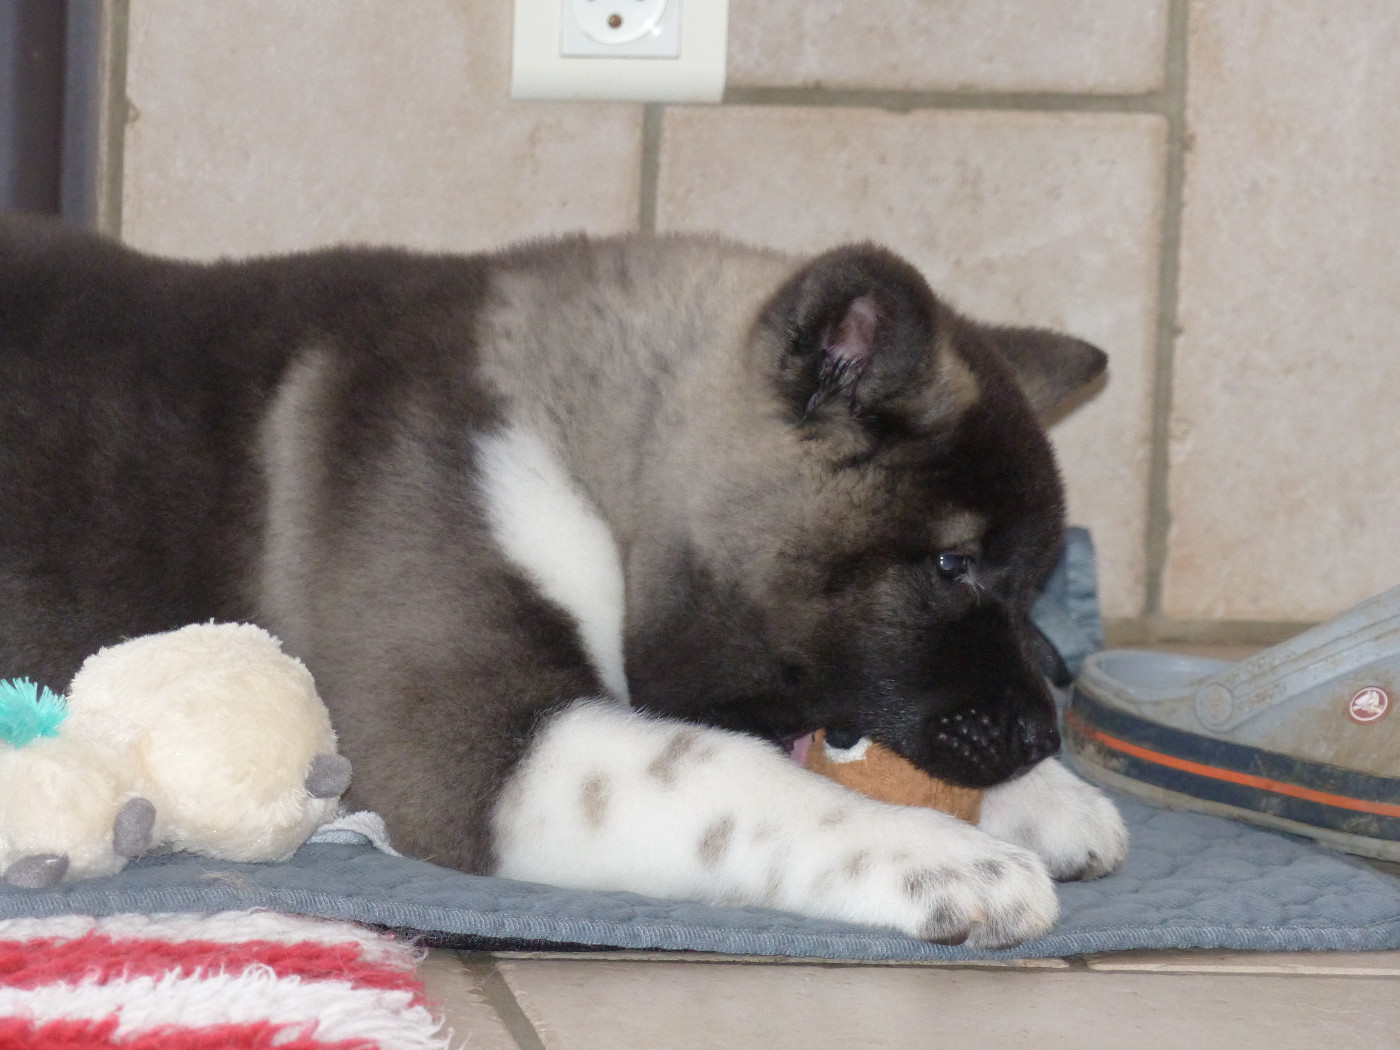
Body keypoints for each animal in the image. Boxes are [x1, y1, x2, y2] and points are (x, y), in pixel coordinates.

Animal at [0, 213, 1126, 948]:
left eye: (1032, 584)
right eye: (953, 566)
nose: (1044, 735)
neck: (578, 455)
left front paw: (1047, 801)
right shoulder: (459, 753)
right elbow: (723, 776)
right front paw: (938, 859)